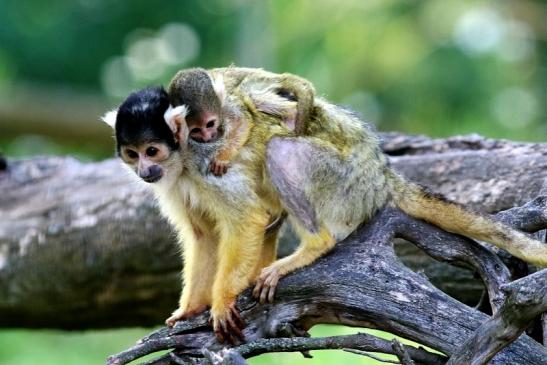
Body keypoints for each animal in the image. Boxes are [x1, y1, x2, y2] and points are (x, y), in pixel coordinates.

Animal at [104, 66, 547, 344]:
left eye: (152, 150)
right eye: (132, 154)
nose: (146, 170)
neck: (181, 160)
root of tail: (379, 174)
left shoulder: (204, 162)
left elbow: (245, 220)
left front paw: (223, 300)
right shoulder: (175, 182)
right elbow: (203, 237)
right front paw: (192, 308)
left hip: (342, 181)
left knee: (280, 150)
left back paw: (312, 245)